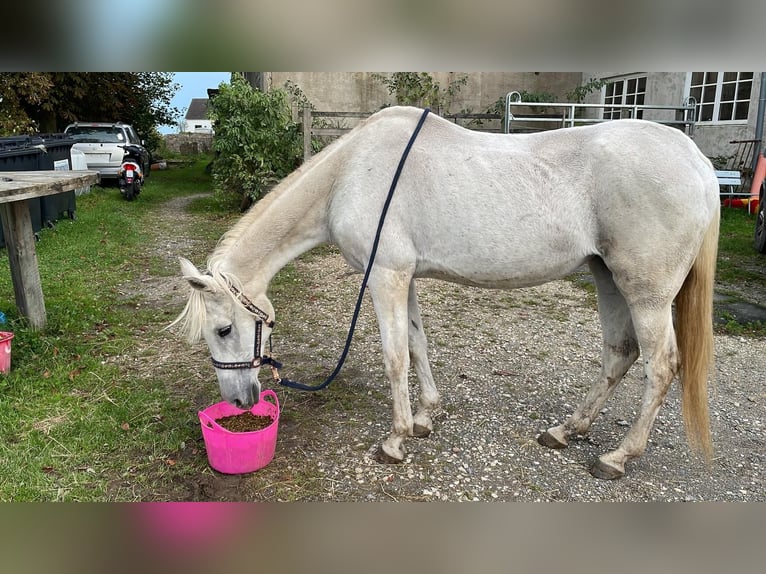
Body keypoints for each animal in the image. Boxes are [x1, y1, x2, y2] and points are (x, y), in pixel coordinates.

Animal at [172, 106, 720, 480]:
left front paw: (395, 441)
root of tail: (697, 162)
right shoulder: (404, 276)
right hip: (607, 277)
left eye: (224, 329)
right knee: (619, 353)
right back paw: (567, 431)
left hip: (646, 292)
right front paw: (424, 417)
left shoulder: (385, 277)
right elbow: (417, 344)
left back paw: (617, 457)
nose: (240, 401)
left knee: (662, 366)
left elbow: (395, 356)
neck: (348, 175)